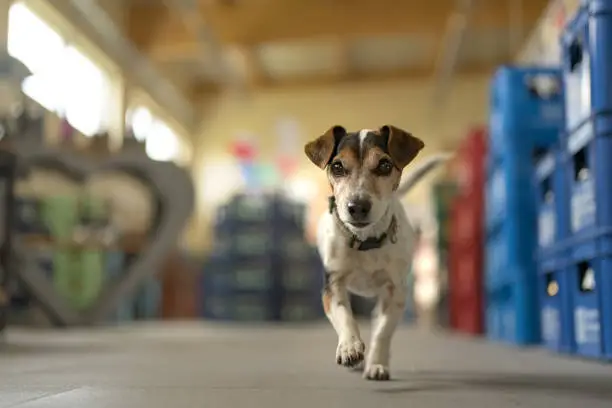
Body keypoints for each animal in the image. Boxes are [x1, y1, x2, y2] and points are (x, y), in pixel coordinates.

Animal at [304, 125, 450, 382]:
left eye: (385, 165)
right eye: (337, 167)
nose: (357, 206)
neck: (366, 241)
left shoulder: (396, 292)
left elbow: (383, 331)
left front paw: (377, 364)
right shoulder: (332, 285)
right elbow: (344, 315)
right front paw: (350, 347)